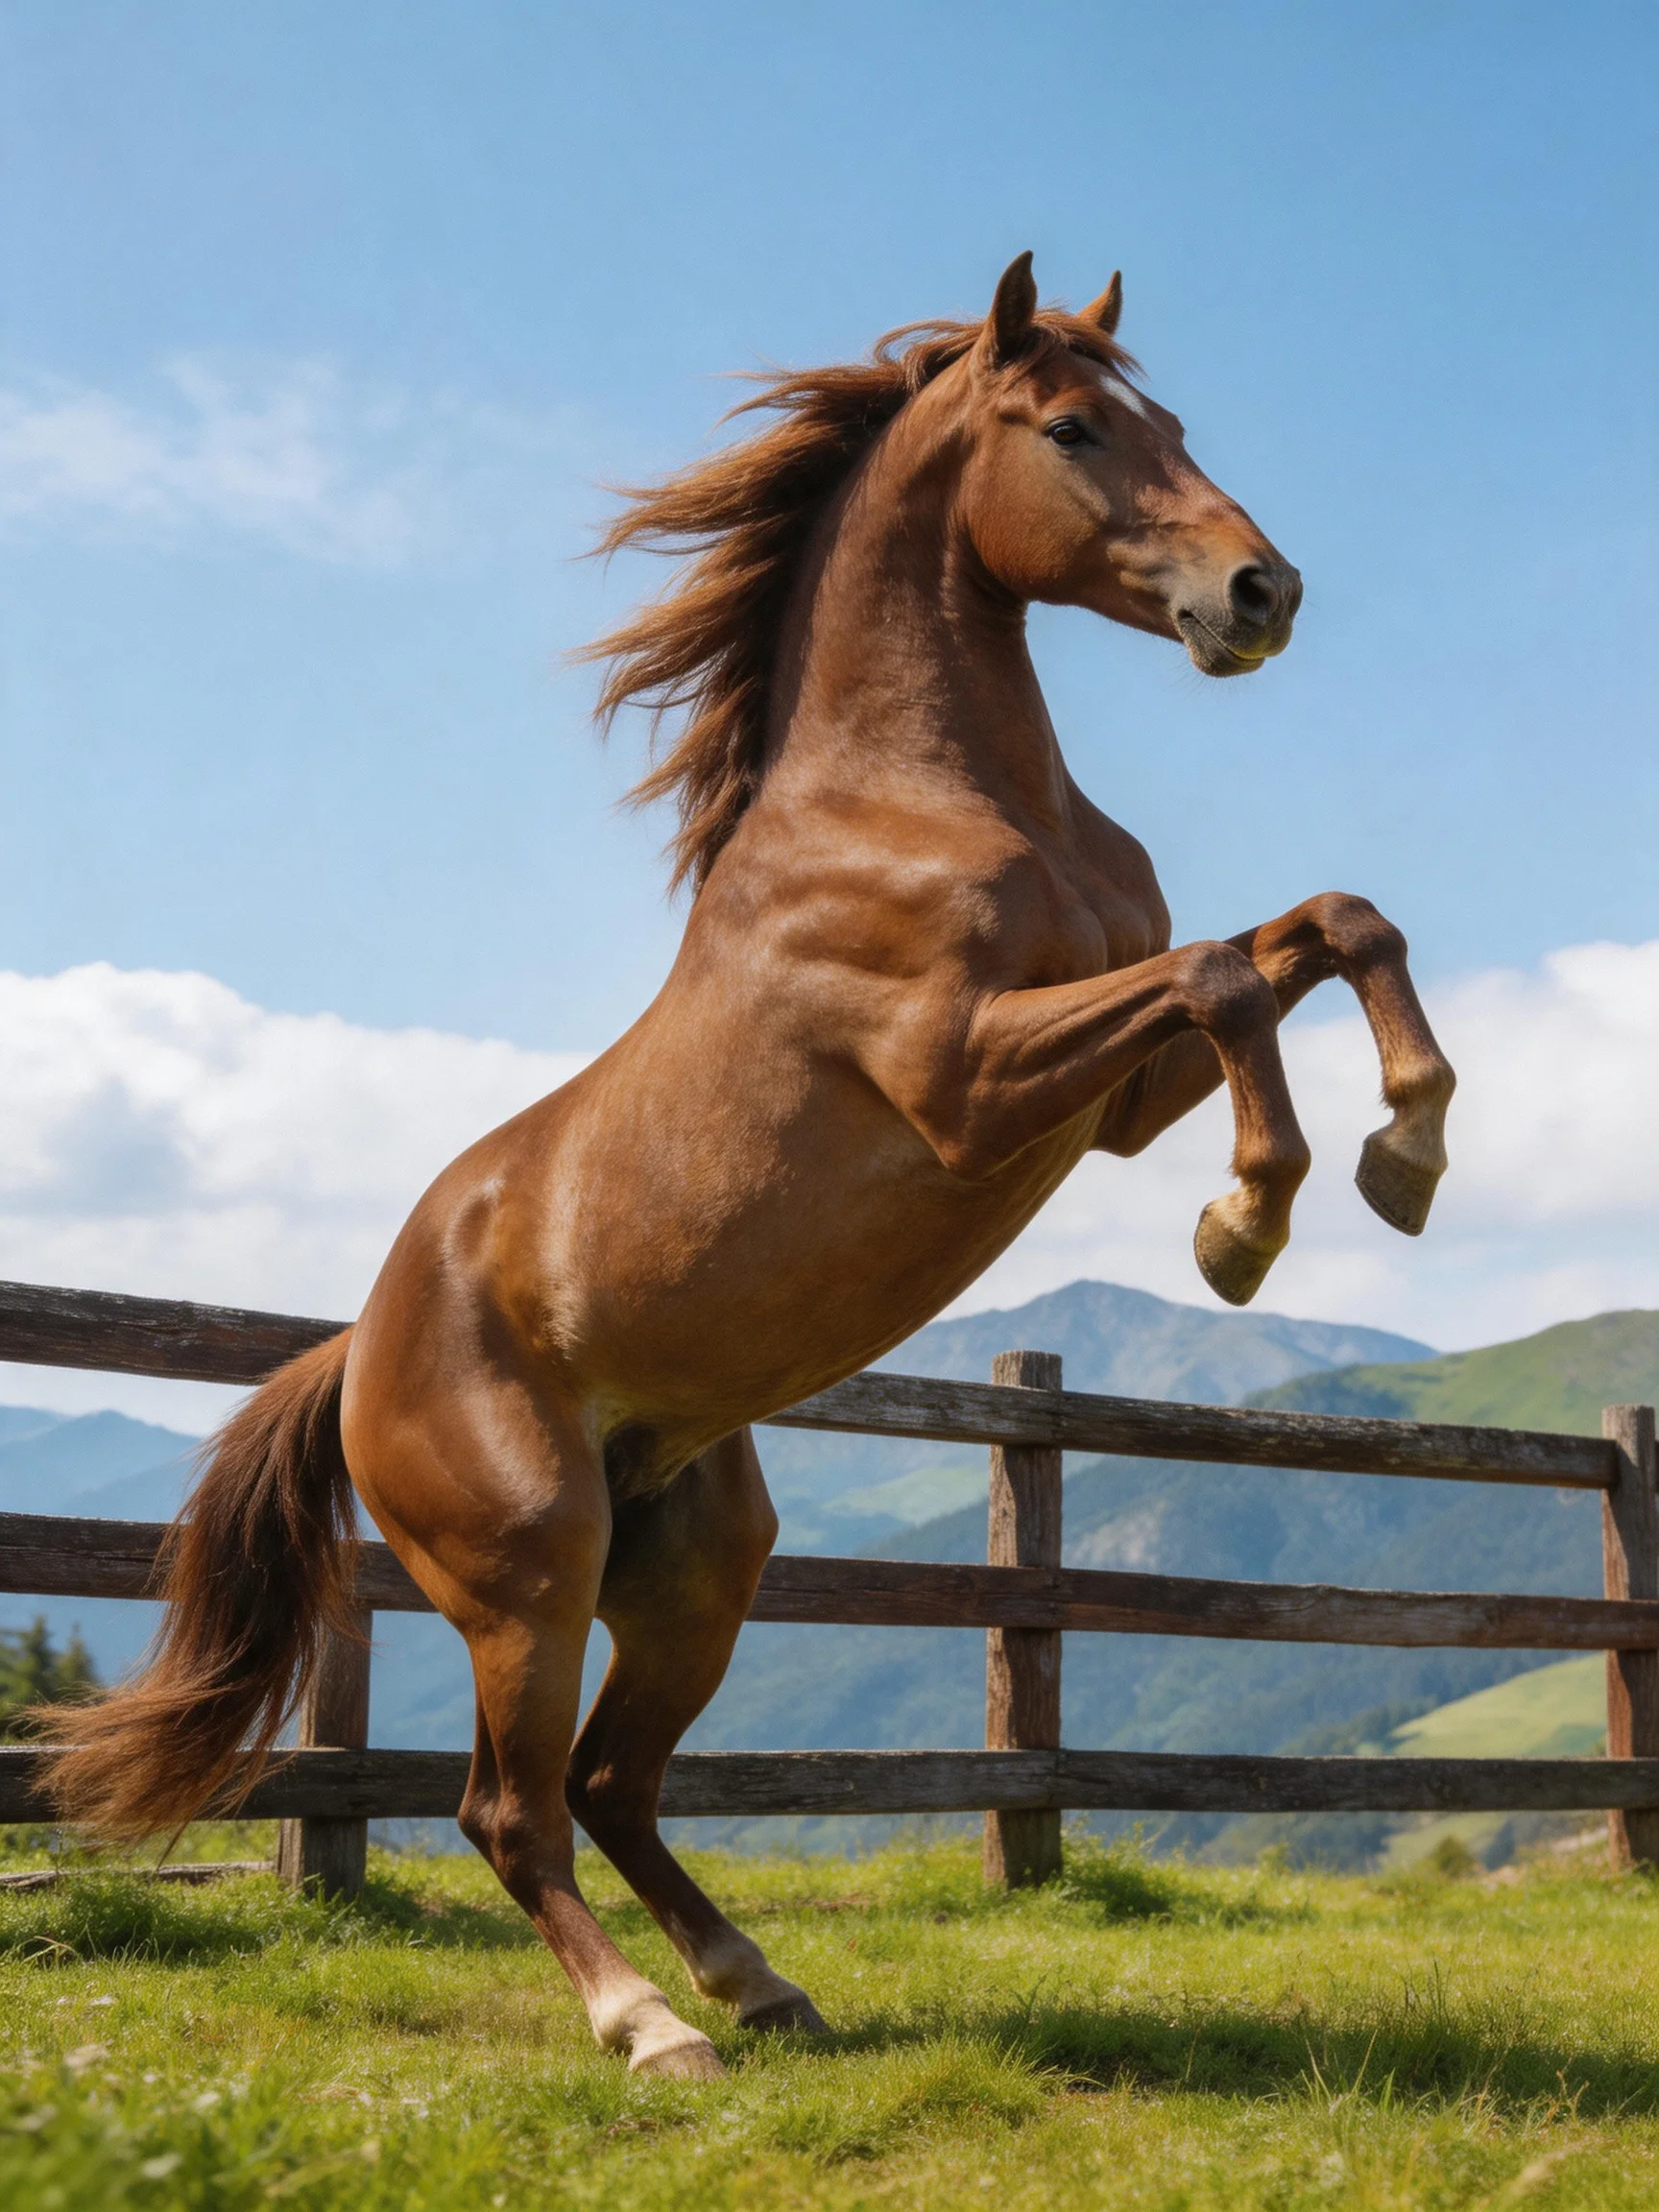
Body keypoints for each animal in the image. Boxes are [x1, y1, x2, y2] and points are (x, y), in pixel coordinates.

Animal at [46, 254, 1454, 2078]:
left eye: (1173, 421)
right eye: (1071, 427)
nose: (1259, 591)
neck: (924, 798)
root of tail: (356, 1350)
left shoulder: (1113, 1096)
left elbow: (1325, 926)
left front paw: (1405, 1148)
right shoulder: (967, 1080)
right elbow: (1223, 972)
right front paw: (1248, 1222)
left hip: (695, 1568)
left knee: (610, 1784)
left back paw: (758, 1982)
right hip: (526, 1568)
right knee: (511, 1806)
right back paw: (652, 2025)